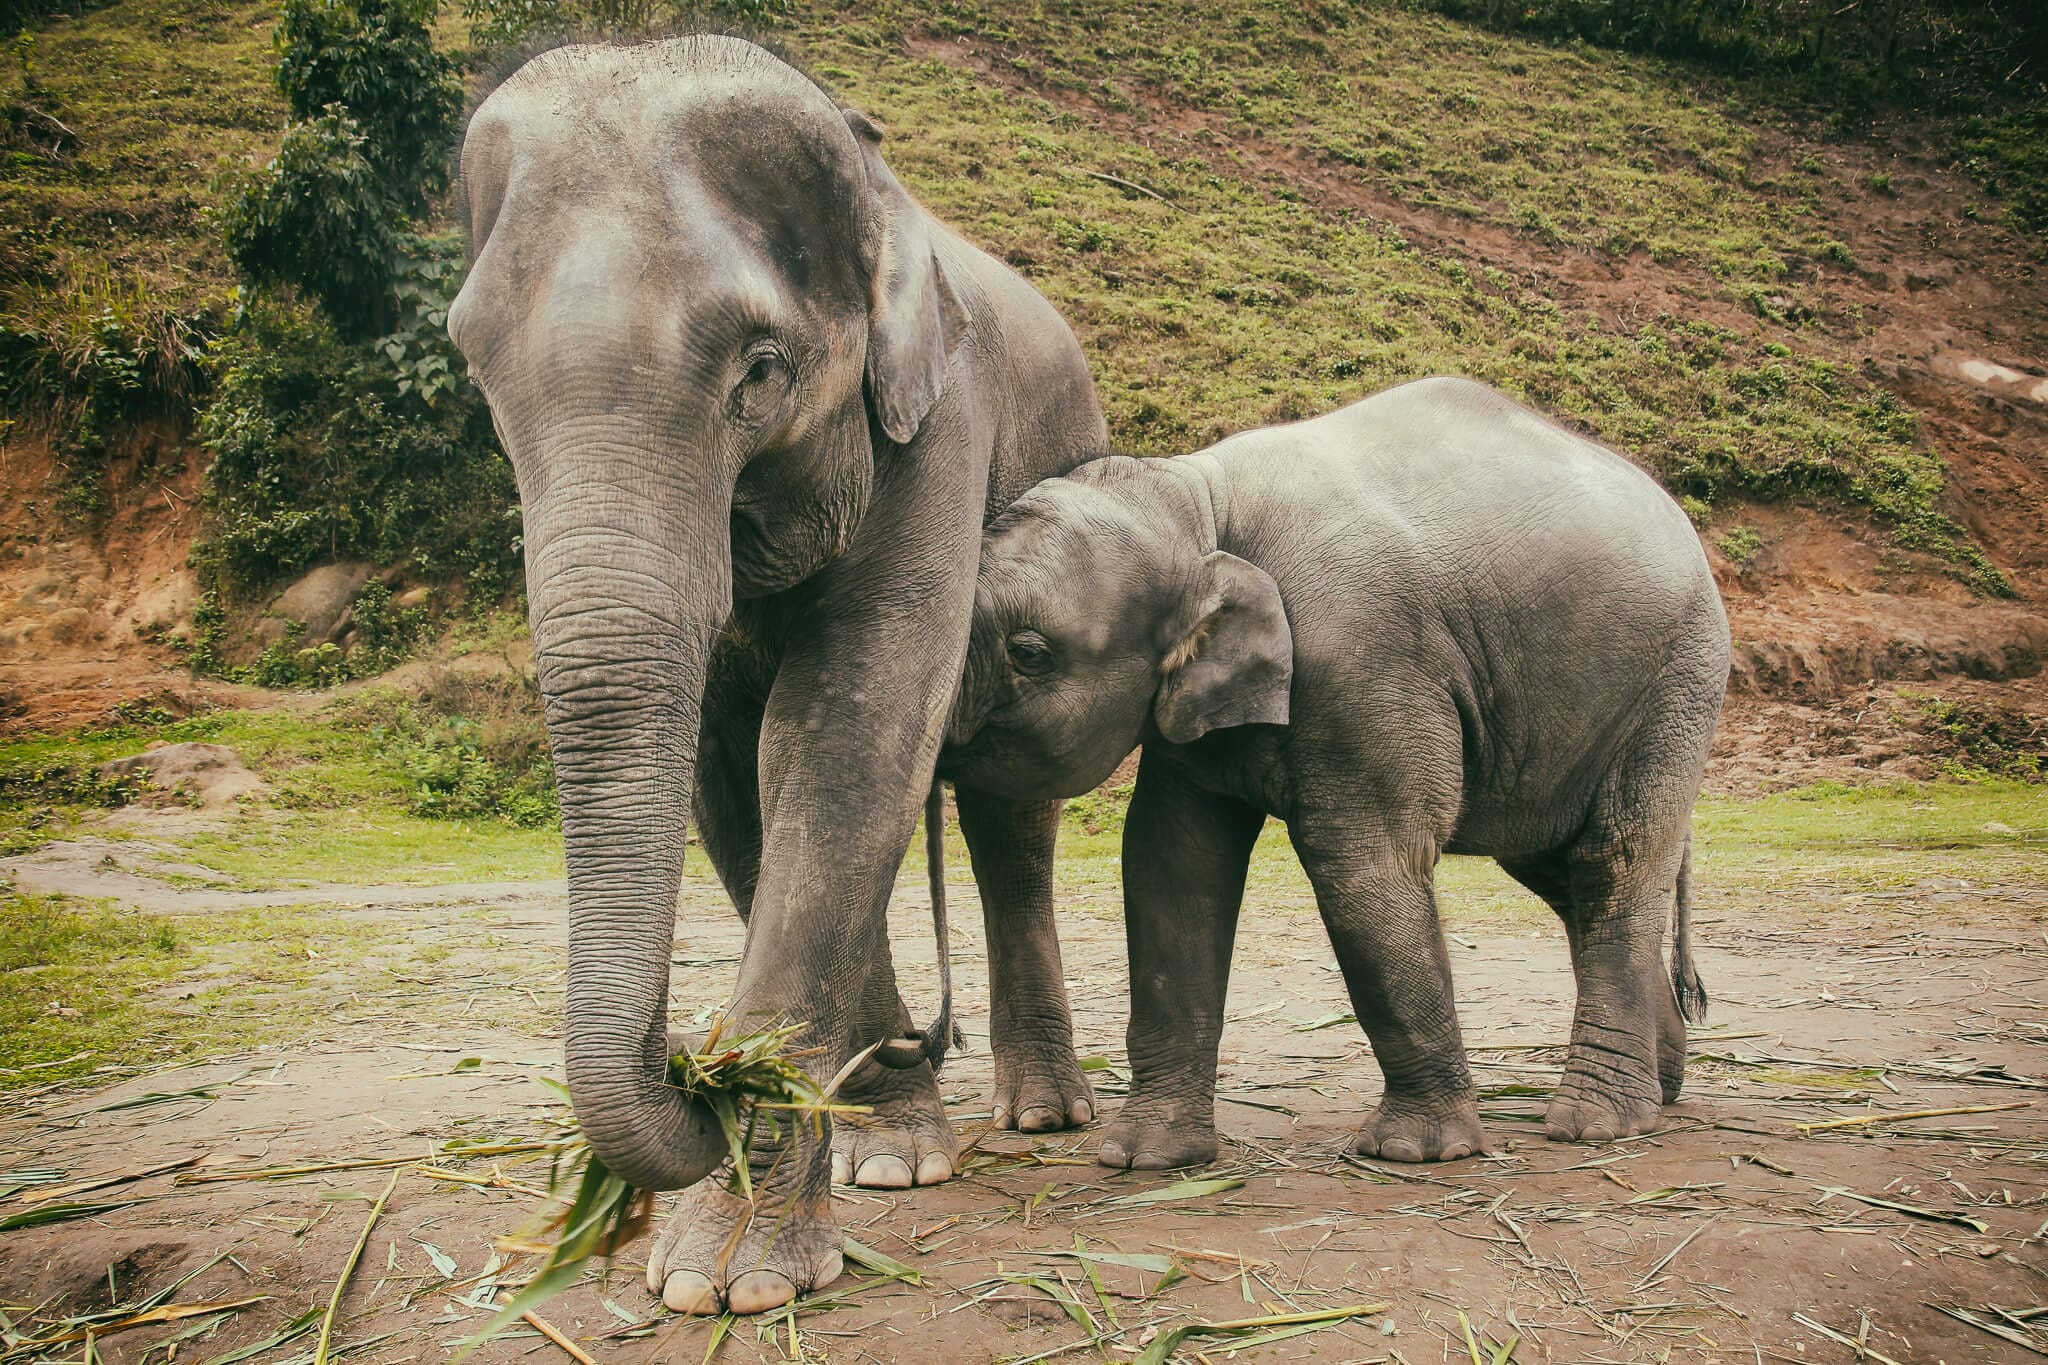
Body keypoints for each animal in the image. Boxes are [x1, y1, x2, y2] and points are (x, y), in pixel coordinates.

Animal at [448, 35, 1105, 1315]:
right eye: (476, 372)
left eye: (760, 370)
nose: (681, 1061)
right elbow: (735, 771)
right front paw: (865, 1157)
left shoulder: (938, 427)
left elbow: (845, 728)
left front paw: (727, 1278)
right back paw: (893, 1138)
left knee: (1011, 824)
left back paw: (1042, 1116)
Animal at [939, 376, 1730, 1170]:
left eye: (1029, 652)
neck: (1198, 496)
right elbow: (1173, 864)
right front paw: (1147, 1158)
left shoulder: (1364, 661)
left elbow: (1364, 864)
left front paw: (1413, 1151)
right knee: (1559, 872)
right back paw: (1660, 1086)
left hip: (1676, 680)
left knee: (1614, 858)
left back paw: (1599, 1123)